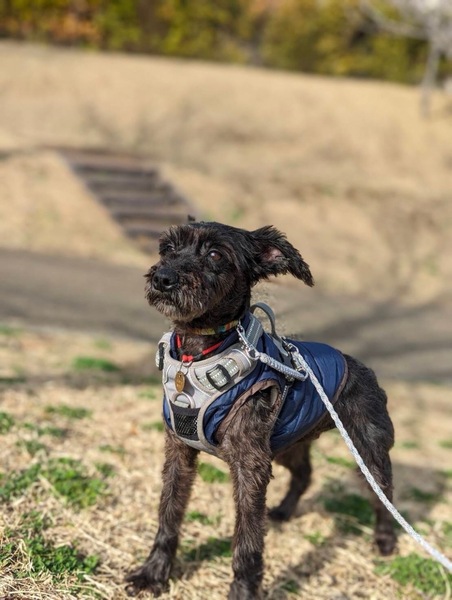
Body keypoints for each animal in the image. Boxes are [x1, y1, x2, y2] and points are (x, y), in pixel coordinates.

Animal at [125, 222, 396, 599]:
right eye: (167, 248)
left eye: (215, 254)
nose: (164, 278)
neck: (201, 352)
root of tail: (360, 366)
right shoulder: (179, 451)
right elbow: (169, 513)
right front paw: (153, 574)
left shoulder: (250, 466)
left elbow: (247, 542)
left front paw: (242, 590)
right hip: (288, 444)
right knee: (305, 473)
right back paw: (282, 511)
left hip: (367, 451)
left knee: (383, 494)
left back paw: (385, 539)